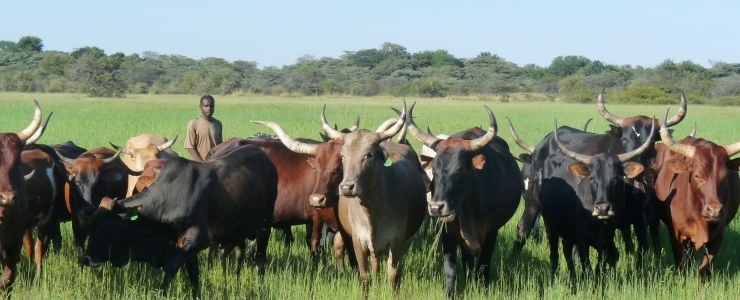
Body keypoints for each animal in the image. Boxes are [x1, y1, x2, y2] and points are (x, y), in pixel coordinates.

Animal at [81, 145, 278, 298]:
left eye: (105, 227)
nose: (86, 259)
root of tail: (265, 158)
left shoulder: (198, 240)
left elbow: (171, 267)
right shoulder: (185, 247)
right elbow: (193, 277)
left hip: (264, 224)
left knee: (260, 259)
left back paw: (260, 285)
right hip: (237, 229)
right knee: (239, 251)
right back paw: (235, 278)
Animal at [652, 108, 740, 282]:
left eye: (725, 176)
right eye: (698, 175)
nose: (714, 210)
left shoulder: (718, 235)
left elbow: (705, 268)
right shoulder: (676, 234)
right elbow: (680, 263)